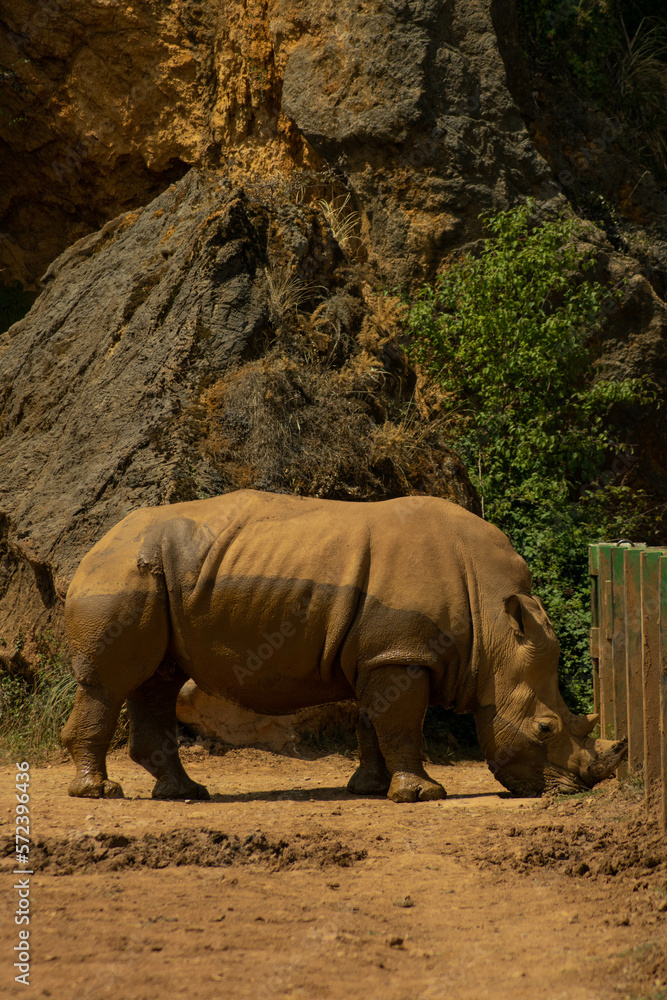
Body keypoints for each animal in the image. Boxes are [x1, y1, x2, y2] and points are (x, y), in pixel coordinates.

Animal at [62, 489, 626, 801]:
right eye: (545, 727)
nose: (576, 790)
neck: (494, 631)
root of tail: (96, 542)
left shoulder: (384, 654)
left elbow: (373, 723)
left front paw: (371, 789)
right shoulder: (401, 655)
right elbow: (401, 725)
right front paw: (424, 794)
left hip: (154, 576)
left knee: (157, 679)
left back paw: (186, 794)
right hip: (121, 574)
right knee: (110, 685)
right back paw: (101, 792)